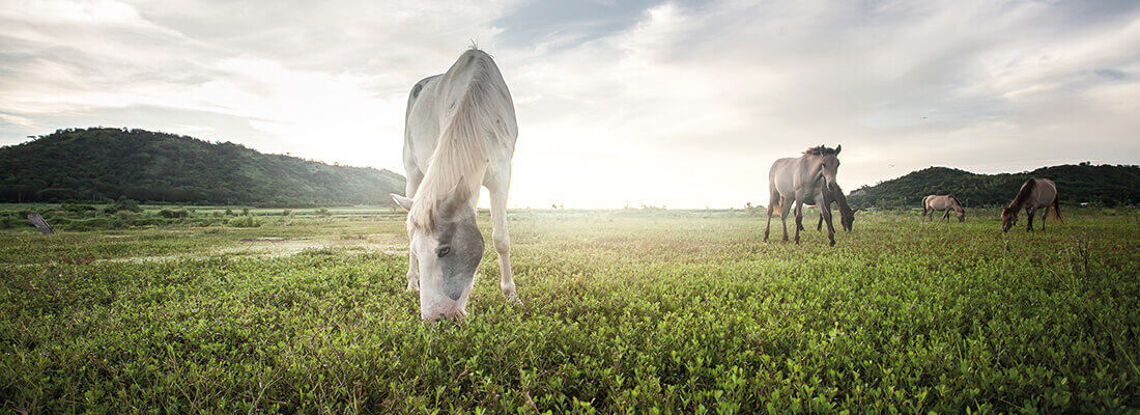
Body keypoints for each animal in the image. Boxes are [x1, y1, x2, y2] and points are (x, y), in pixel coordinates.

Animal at [389, 48, 519, 321]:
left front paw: (511, 296)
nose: (435, 318)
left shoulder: (502, 173)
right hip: (412, 172)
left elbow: (501, 239)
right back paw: (411, 282)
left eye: (445, 250)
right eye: (421, 252)